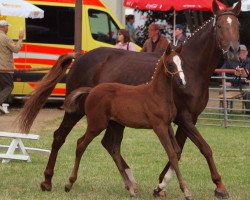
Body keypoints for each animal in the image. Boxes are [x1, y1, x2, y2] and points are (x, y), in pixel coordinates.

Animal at [63, 44, 191, 199]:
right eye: (170, 64)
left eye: (182, 63)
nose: (182, 82)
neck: (157, 94)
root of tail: (92, 90)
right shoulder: (159, 127)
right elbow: (171, 154)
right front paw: (186, 191)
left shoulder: (168, 126)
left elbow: (177, 151)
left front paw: (161, 187)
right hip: (97, 124)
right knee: (81, 144)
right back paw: (69, 183)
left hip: (114, 124)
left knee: (113, 149)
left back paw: (130, 188)